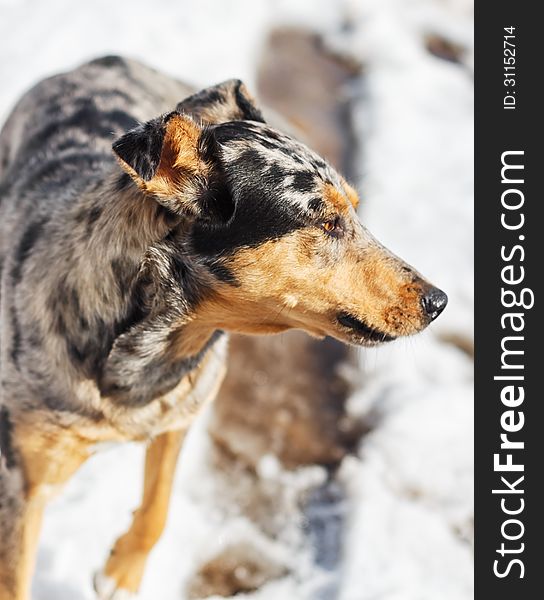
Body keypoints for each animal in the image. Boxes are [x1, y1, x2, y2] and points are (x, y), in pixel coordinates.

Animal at [0, 57, 446, 600]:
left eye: (355, 212)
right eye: (326, 222)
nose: (438, 301)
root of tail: (103, 59)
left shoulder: (182, 413)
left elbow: (159, 506)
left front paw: (122, 571)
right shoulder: (24, 481)